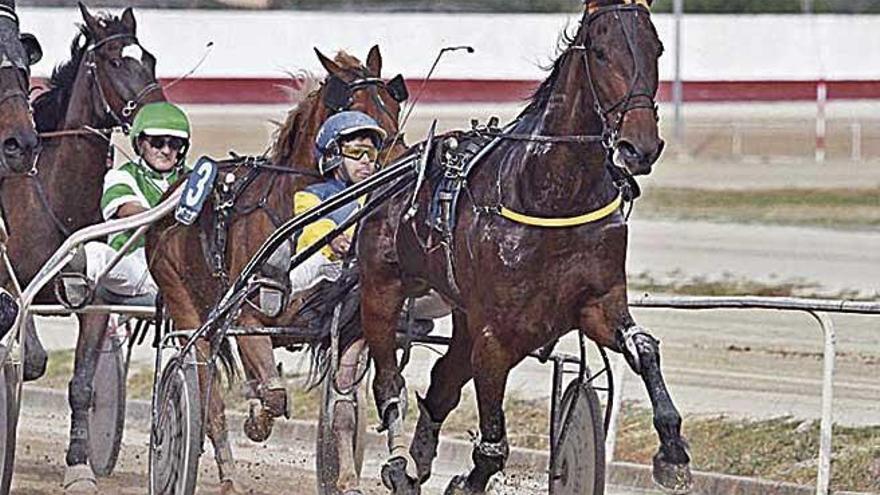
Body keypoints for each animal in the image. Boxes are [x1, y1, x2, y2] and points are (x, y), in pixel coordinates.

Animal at [0, 2, 164, 492]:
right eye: (112, 61)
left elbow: (83, 384)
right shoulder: (12, 289)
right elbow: (27, 359)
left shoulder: (94, 300)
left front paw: (79, 464)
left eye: (149, 59)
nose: (159, 115)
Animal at [144, 46, 406, 495]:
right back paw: (228, 474)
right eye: (353, 106)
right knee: (208, 398)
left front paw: (346, 479)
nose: (393, 157)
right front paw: (257, 420)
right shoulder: (249, 315)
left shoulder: (344, 327)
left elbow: (341, 410)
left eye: (393, 104)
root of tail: (171, 198)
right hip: (187, 306)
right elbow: (274, 395)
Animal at [358, 0, 696, 495]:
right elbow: (492, 447)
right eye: (599, 51)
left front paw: (672, 451)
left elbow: (645, 349)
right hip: (382, 289)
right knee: (388, 383)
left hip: (463, 314)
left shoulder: (596, 303)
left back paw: (417, 459)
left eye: (656, 48)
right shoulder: (496, 335)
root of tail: (395, 168)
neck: (554, 192)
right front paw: (466, 481)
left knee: (442, 383)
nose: (640, 147)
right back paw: (399, 463)